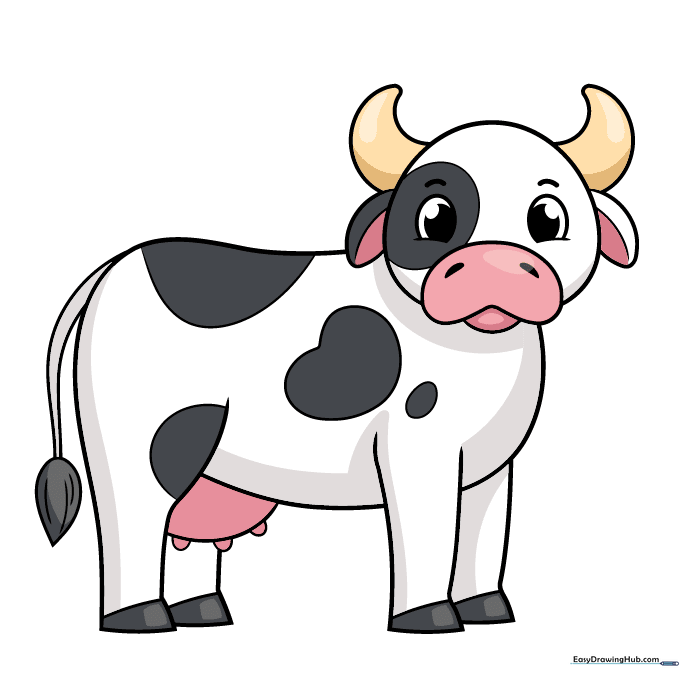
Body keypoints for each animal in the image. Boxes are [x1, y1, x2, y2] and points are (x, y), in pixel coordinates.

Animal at [35, 83, 638, 634]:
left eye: (548, 218)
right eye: (435, 218)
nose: (496, 265)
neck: (480, 354)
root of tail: (111, 268)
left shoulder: (492, 466)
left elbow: (483, 539)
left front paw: (488, 612)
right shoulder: (417, 444)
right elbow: (431, 534)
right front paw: (431, 619)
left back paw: (206, 614)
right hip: (139, 433)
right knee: (133, 519)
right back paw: (142, 619)